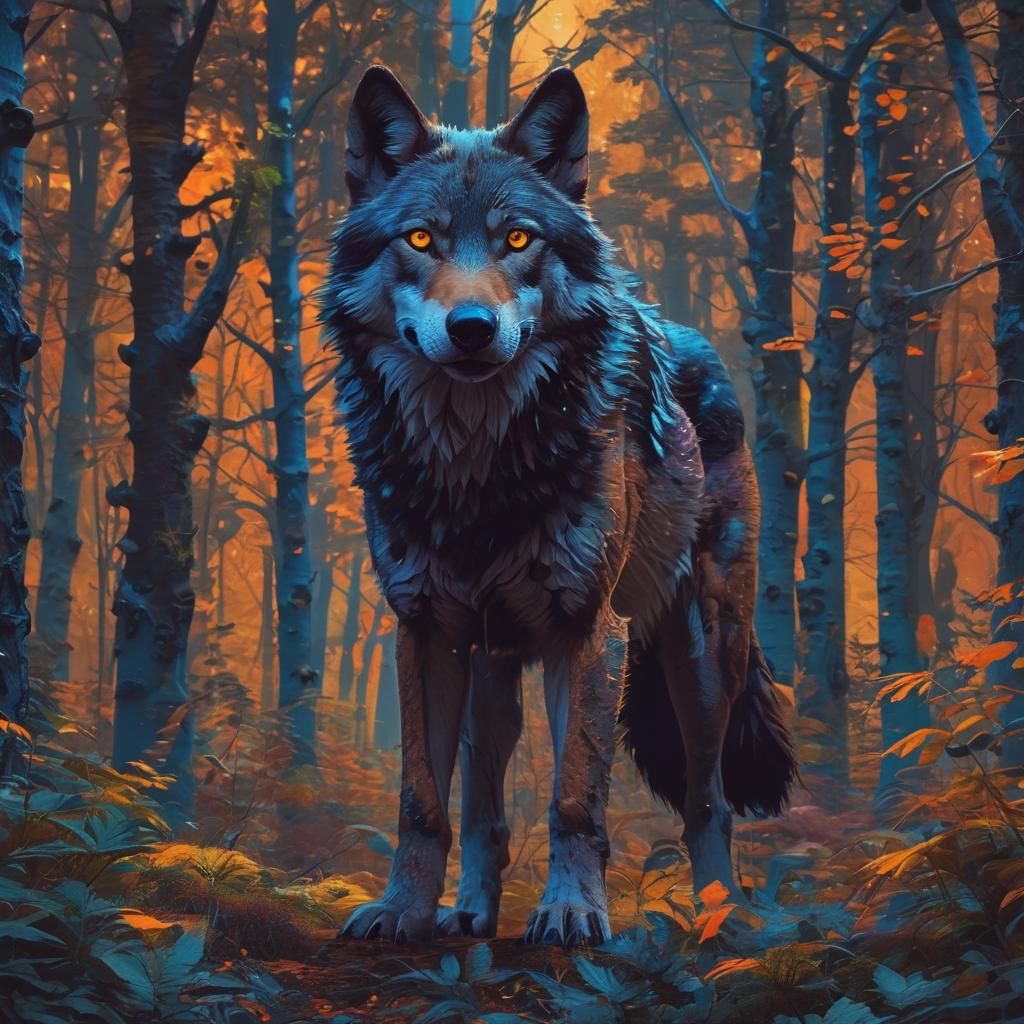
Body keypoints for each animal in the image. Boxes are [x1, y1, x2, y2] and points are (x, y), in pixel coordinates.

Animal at [320, 65, 796, 946]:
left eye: (518, 240)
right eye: (420, 240)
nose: (473, 327)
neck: (475, 468)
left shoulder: (586, 629)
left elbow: (576, 795)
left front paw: (573, 910)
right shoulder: (424, 630)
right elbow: (422, 801)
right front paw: (405, 910)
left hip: (701, 660)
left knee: (707, 803)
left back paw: (723, 922)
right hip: (493, 663)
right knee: (485, 807)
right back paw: (471, 911)